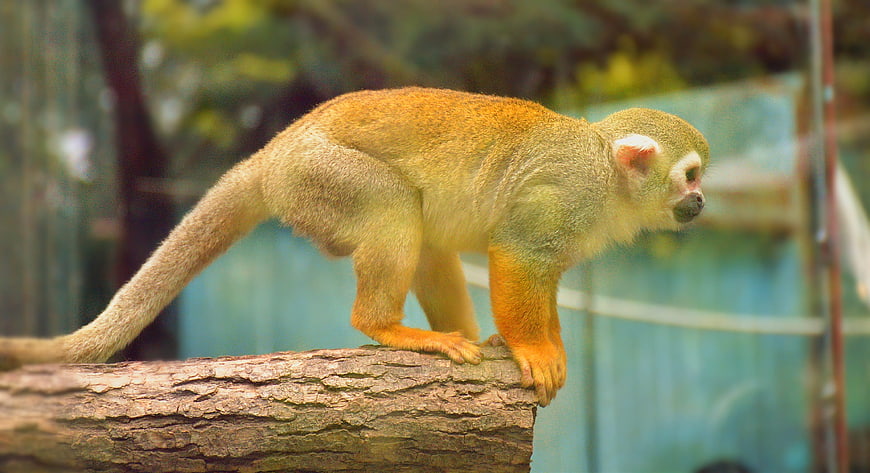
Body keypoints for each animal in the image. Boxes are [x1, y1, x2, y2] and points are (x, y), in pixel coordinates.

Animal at [0, 87, 709, 406]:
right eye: (693, 175)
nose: (701, 203)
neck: (608, 177)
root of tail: (274, 151)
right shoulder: (565, 196)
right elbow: (518, 253)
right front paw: (536, 349)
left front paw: (530, 344)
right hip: (318, 177)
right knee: (395, 210)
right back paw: (388, 328)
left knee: (424, 232)